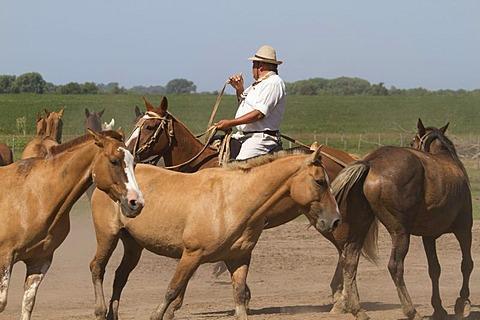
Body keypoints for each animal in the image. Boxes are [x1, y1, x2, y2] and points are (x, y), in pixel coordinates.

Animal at [0, 130, 143, 320]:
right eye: (114, 161)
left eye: (133, 163)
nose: (136, 202)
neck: (35, 196)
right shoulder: (5, 257)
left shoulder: (40, 260)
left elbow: (28, 303)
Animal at [89, 149, 338, 320]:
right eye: (320, 181)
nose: (335, 220)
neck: (233, 201)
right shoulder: (191, 255)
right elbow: (172, 291)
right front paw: (157, 314)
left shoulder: (238, 258)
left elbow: (239, 296)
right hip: (108, 236)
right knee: (97, 268)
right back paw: (100, 311)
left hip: (133, 245)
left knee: (120, 276)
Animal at [125, 97, 358, 300]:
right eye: (135, 124)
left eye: (149, 127)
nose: (127, 151)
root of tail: (348, 159)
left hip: (334, 222)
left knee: (346, 252)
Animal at [330, 119, 472, 320]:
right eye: (413, 141)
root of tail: (371, 162)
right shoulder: (464, 229)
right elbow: (466, 264)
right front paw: (461, 302)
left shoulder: (429, 237)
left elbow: (434, 269)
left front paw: (439, 308)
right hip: (400, 232)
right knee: (395, 266)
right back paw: (411, 311)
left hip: (361, 226)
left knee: (350, 261)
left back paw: (358, 310)